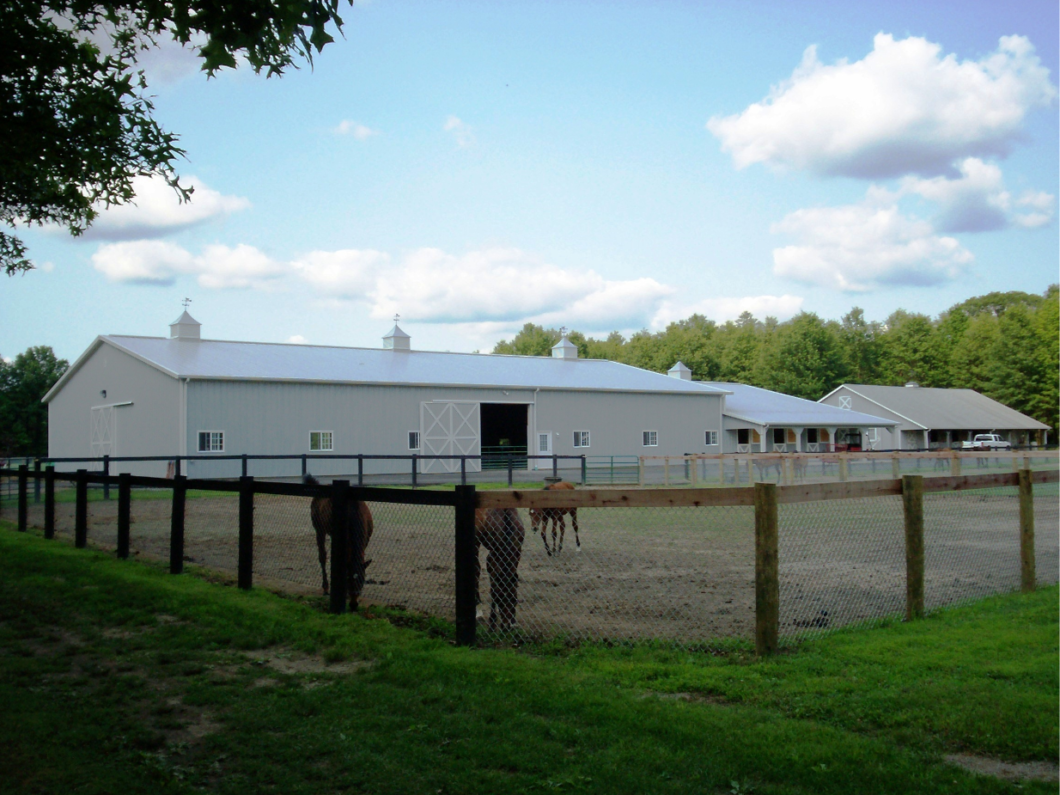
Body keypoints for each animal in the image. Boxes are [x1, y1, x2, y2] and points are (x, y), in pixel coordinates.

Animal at [305, 472, 375, 602]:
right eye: (348, 579)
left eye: (362, 579)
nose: (354, 598)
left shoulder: (365, 540)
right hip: (319, 530)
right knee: (322, 556)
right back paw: (326, 587)